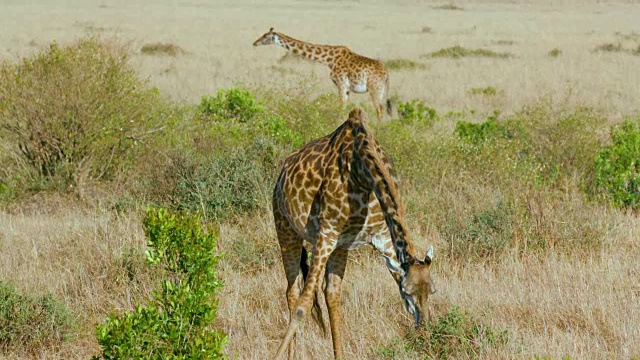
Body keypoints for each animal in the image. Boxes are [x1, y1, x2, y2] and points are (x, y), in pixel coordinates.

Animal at [252, 28, 392, 121]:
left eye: (265, 36)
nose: (255, 43)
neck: (329, 60)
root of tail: (386, 73)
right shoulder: (346, 87)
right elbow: (345, 106)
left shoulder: (341, 83)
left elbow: (341, 105)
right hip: (381, 89)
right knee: (382, 108)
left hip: (374, 88)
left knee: (379, 109)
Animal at [270, 107, 436, 360]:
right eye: (407, 291)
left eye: (432, 290)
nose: (423, 326)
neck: (362, 175)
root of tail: (281, 172)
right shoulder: (326, 233)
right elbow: (302, 306)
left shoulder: (382, 239)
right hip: (286, 229)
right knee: (293, 291)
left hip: (340, 246)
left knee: (331, 294)